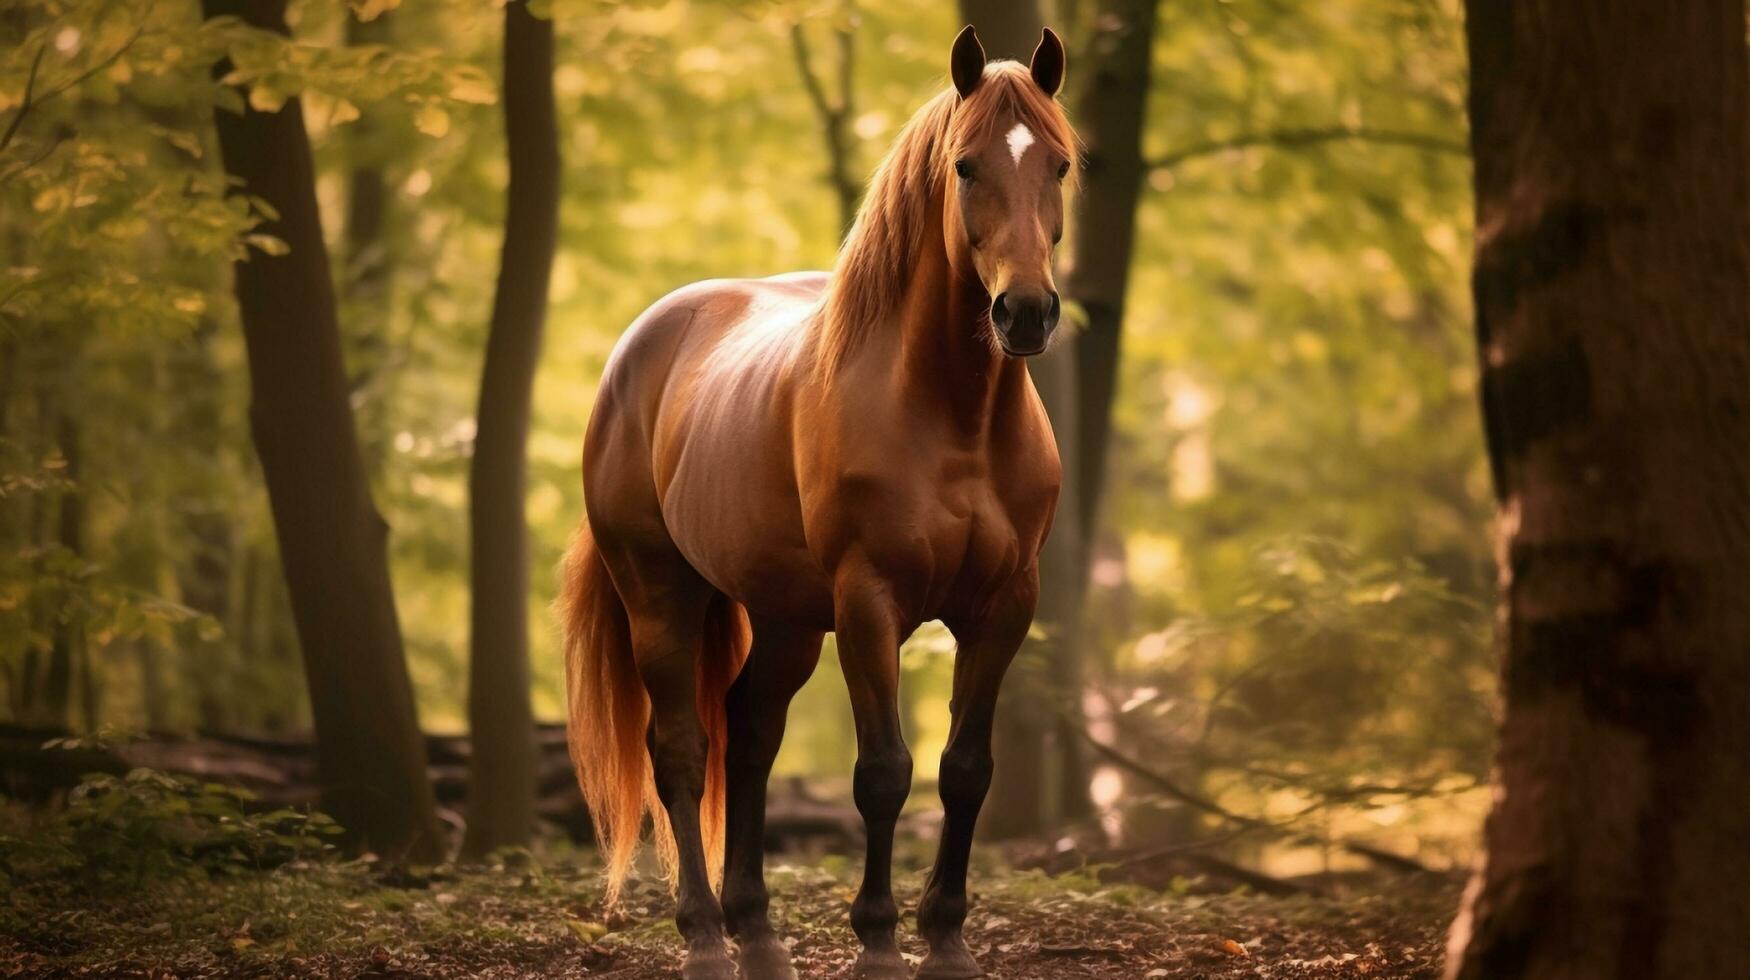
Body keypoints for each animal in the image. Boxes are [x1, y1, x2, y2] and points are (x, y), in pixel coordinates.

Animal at [567, 24, 1071, 980]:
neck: (951, 416)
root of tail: (635, 349)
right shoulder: (869, 603)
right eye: (965, 166)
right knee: (681, 750)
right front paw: (876, 943)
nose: (1024, 312)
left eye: (1059, 164)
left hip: (787, 618)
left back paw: (759, 937)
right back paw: (705, 939)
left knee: (750, 733)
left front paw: (946, 941)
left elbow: (966, 770)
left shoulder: (1005, 605)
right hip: (661, 593)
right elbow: (883, 773)